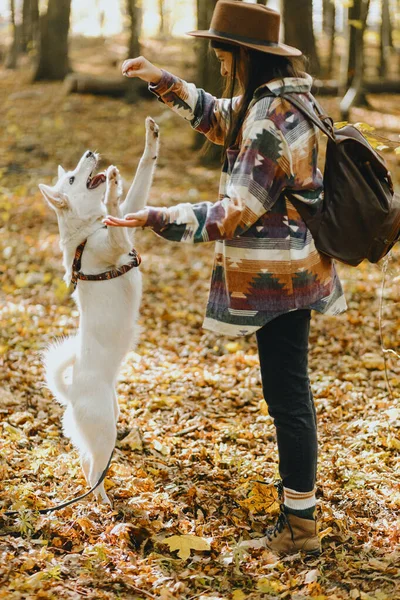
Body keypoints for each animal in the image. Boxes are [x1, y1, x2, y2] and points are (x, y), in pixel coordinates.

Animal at [38, 116, 159, 502]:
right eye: (72, 179)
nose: (90, 153)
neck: (88, 231)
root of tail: (72, 396)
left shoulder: (128, 220)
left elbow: (140, 177)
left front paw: (151, 140)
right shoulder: (118, 239)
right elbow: (115, 205)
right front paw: (112, 188)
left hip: (108, 425)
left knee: (85, 462)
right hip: (106, 430)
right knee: (92, 472)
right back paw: (104, 504)